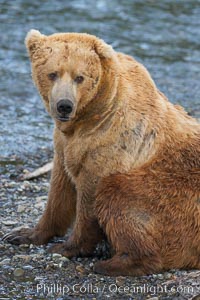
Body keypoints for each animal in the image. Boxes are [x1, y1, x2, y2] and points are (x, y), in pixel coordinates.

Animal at [3, 29, 200, 276]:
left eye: (80, 77)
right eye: (52, 74)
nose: (64, 105)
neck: (89, 117)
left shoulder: (111, 143)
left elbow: (90, 197)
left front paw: (68, 246)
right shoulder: (64, 145)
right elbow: (59, 190)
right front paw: (24, 234)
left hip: (171, 196)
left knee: (117, 194)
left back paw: (114, 263)